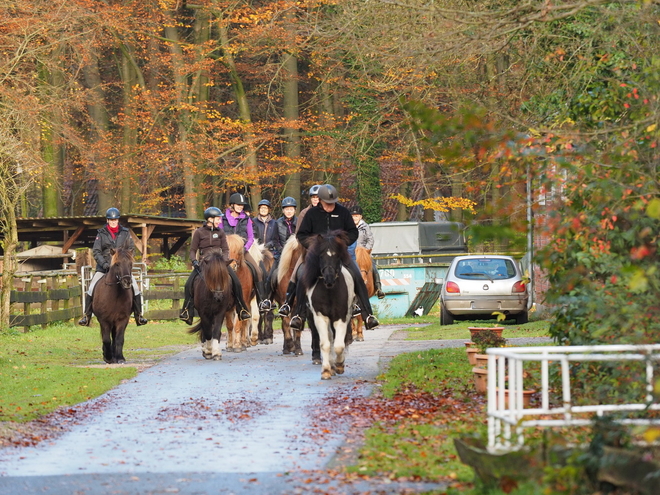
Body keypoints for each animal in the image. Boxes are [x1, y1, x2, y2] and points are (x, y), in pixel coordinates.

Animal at [302, 232, 356, 380]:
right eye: (321, 256)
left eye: (337, 256)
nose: (329, 279)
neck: (329, 292)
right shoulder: (320, 317)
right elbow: (325, 344)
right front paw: (326, 370)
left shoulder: (341, 317)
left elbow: (339, 345)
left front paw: (340, 365)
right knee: (330, 338)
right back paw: (331, 366)